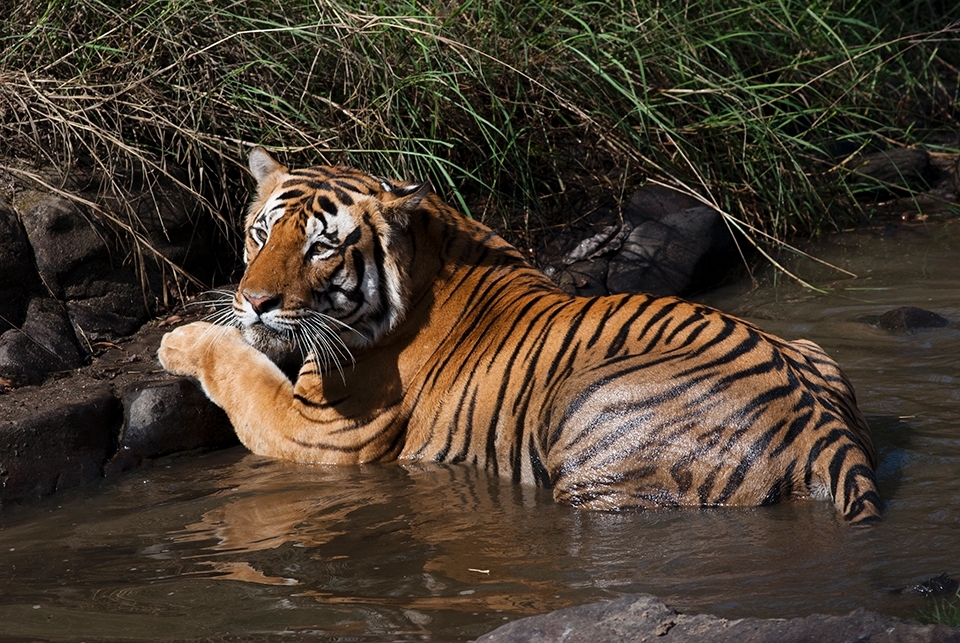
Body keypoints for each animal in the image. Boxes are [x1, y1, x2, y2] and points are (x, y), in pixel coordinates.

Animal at [158, 146, 882, 523]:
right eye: (260, 235)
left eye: (320, 248)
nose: (253, 301)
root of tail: (825, 430)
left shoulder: (320, 430)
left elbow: (238, 370)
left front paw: (178, 341)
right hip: (815, 352)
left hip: (587, 416)